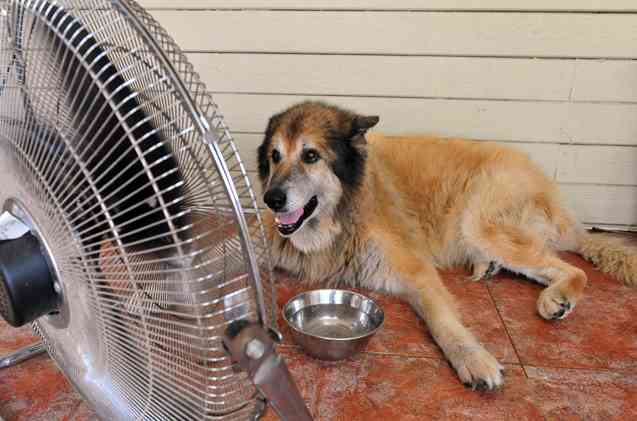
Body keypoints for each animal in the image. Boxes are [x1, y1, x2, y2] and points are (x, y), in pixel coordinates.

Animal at [255, 100, 636, 388]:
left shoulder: (415, 271)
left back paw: (556, 298)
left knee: (572, 268)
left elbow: (442, 319)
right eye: (275, 156)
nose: (271, 199)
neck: (338, 218)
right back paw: (490, 268)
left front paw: (472, 357)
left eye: (311, 156)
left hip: (479, 223)